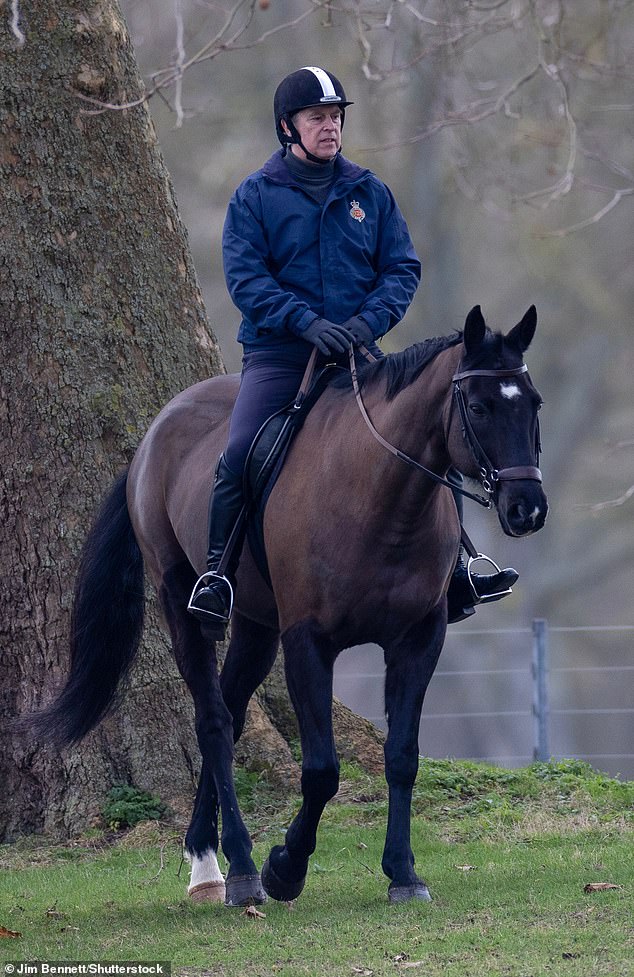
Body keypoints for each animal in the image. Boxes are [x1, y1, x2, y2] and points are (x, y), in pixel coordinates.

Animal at [29, 304, 544, 908]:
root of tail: (155, 431)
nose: (528, 508)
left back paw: (205, 856)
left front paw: (403, 872)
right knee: (212, 721)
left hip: (256, 627)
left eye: (533, 404)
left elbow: (402, 756)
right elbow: (321, 769)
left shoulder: (419, 638)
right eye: (480, 407)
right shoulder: (307, 641)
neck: (380, 498)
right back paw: (239, 867)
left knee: (230, 712)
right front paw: (286, 866)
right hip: (182, 604)